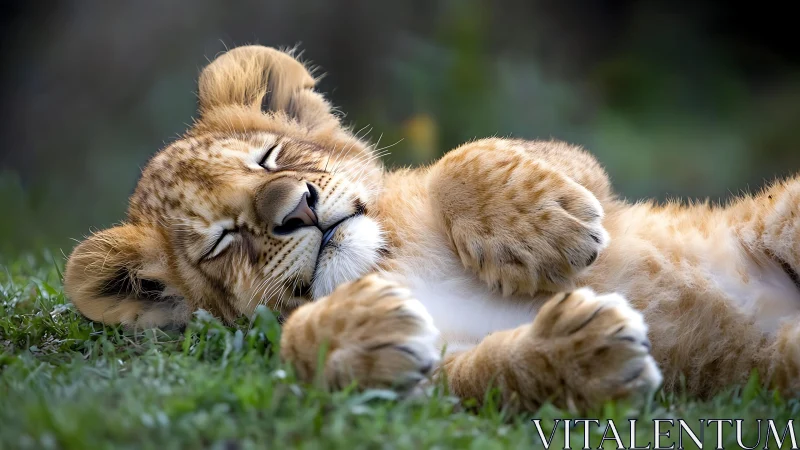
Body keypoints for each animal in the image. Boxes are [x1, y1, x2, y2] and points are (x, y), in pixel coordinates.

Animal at [64, 45, 800, 412]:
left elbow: (460, 158)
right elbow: (488, 373)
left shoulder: (593, 181)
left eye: (270, 158)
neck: (385, 261)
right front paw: (358, 334)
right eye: (222, 238)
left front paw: (548, 234)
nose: (298, 208)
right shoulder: (438, 381)